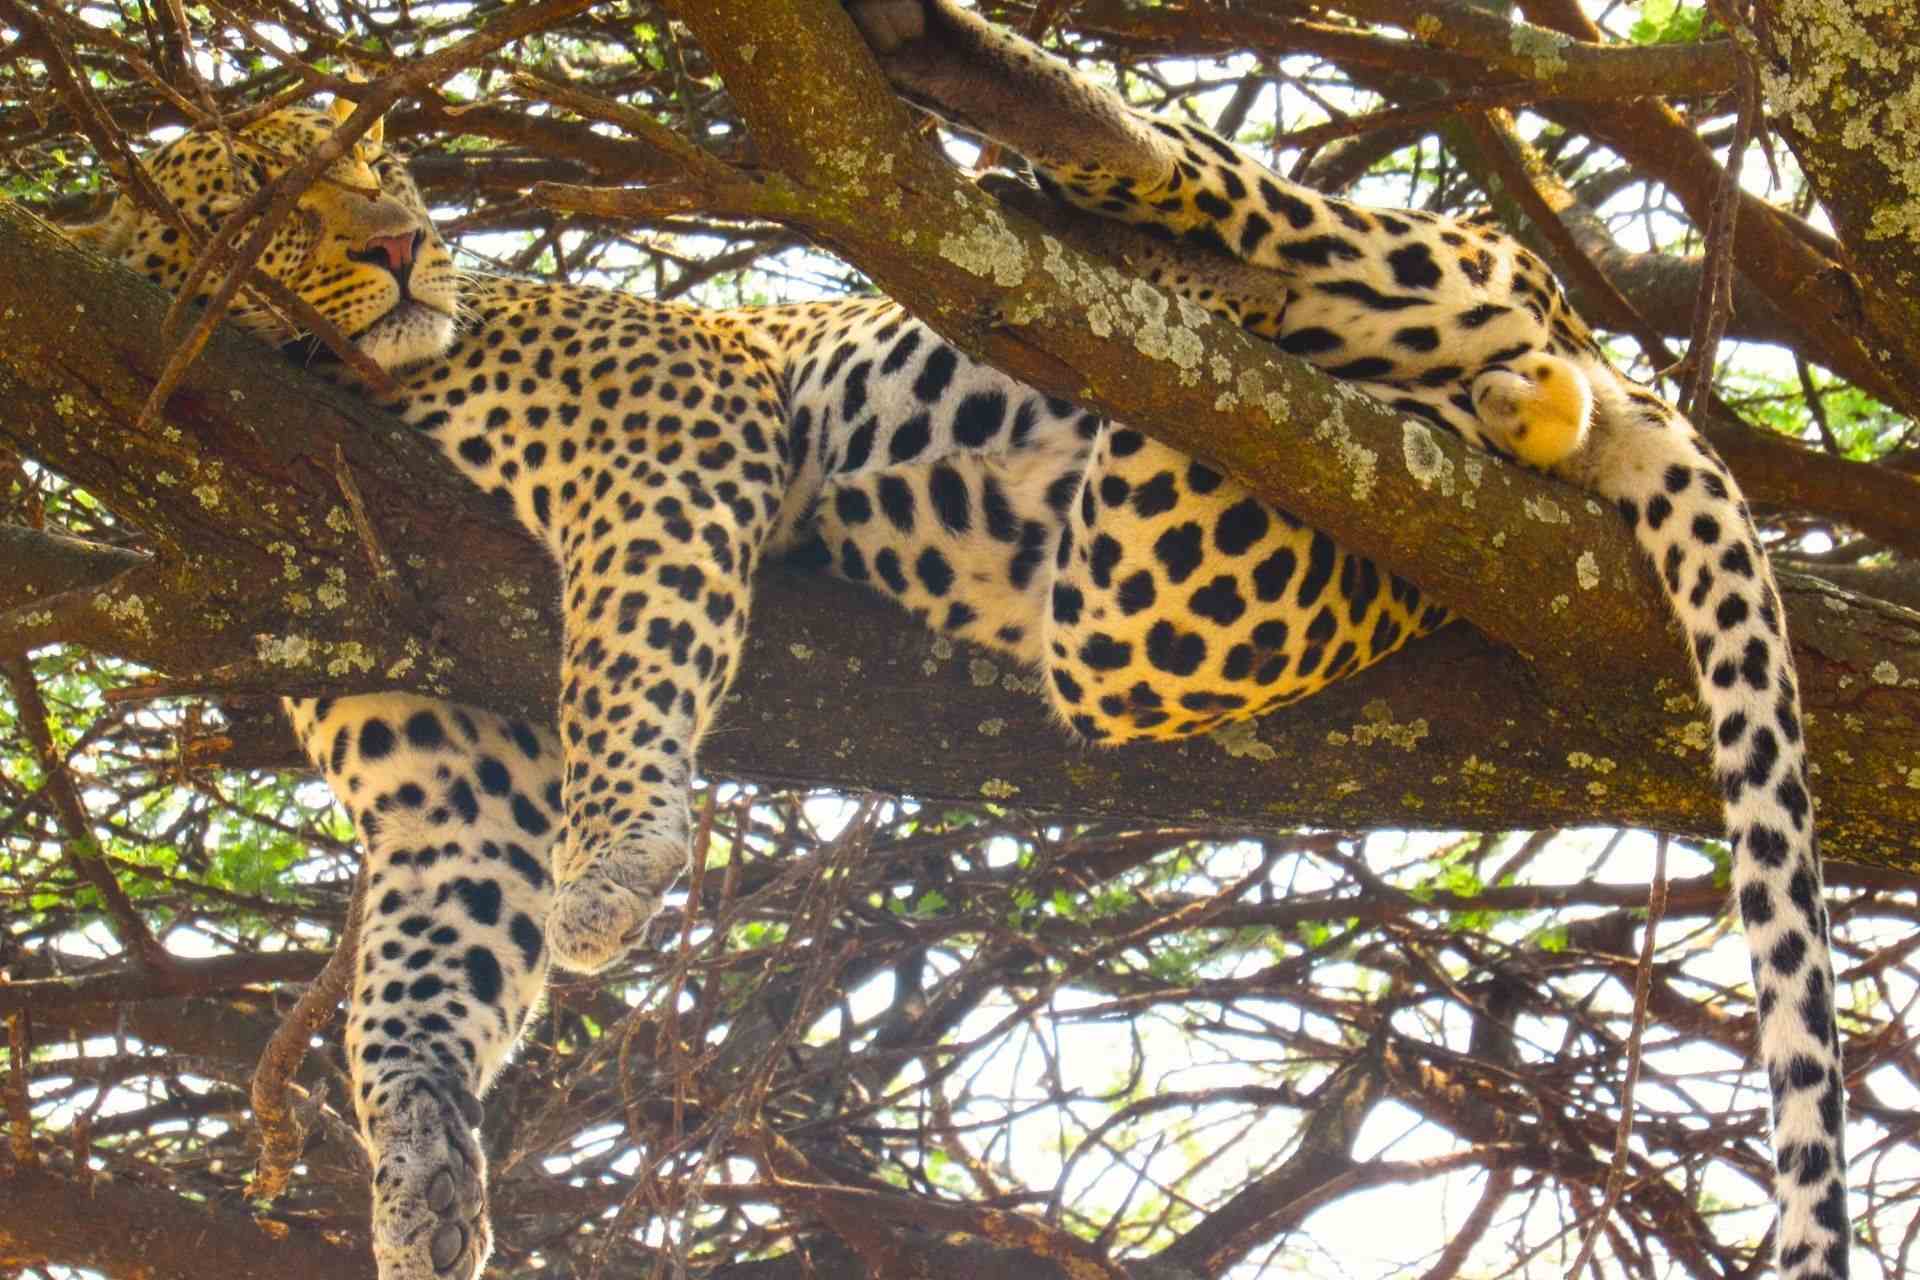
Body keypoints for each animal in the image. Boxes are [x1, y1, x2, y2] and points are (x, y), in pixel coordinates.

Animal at [50, 1, 1844, 1277]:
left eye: (388, 172)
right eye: (269, 207)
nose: (406, 245)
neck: (320, 398)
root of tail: (1579, 346)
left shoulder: (671, 422)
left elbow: (629, 654)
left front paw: (617, 864)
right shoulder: (435, 758)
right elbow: (418, 983)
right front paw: (420, 1188)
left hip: (1356, 322)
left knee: (1330, 229)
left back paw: (1030, 140)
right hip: (1163, 592)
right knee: (1421, 415)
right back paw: (1414, 375)